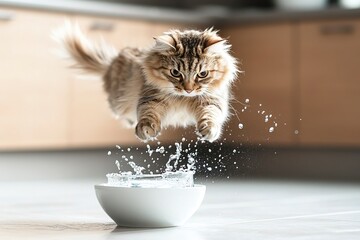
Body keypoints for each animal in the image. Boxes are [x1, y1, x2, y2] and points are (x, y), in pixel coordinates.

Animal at [54, 22, 239, 142]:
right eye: (175, 73)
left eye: (202, 74)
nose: (188, 90)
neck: (182, 99)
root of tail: (111, 62)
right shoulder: (150, 98)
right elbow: (148, 115)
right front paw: (146, 130)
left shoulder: (212, 101)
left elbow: (210, 115)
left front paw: (208, 131)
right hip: (118, 102)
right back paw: (130, 122)